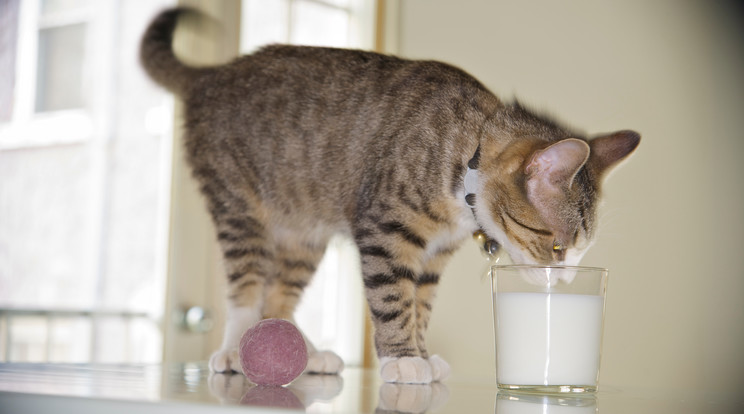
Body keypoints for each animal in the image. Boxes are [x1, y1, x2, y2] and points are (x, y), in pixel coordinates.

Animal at [140, 8, 640, 384]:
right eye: (556, 247)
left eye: (580, 250)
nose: (568, 281)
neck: (468, 151)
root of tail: (213, 75)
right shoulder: (387, 229)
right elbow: (394, 296)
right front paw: (403, 359)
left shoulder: (435, 253)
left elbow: (420, 303)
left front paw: (420, 352)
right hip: (240, 205)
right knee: (248, 283)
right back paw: (237, 346)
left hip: (304, 231)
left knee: (279, 294)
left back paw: (300, 350)